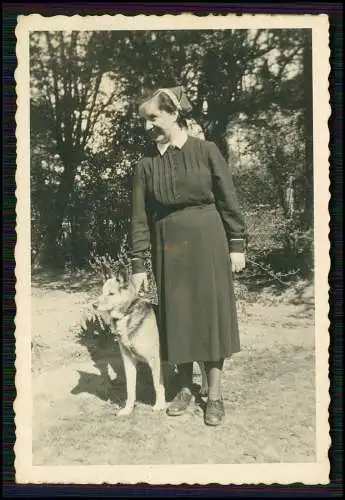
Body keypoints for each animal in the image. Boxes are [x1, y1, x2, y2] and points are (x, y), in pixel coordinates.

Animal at [92, 272, 207, 416]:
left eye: (111, 293)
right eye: (102, 292)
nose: (93, 305)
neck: (128, 313)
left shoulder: (154, 361)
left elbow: (157, 385)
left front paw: (159, 405)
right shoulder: (128, 361)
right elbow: (130, 389)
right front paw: (128, 409)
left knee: (203, 366)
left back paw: (205, 388)